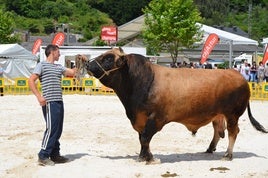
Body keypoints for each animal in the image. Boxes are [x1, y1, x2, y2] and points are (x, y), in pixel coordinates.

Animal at [84, 47, 266, 163]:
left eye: (108, 59)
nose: (87, 63)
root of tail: (238, 76)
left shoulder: (156, 118)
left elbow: (145, 137)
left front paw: (148, 158)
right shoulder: (140, 118)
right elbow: (142, 139)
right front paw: (145, 156)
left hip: (233, 114)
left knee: (233, 132)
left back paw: (228, 155)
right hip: (217, 114)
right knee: (218, 131)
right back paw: (209, 149)